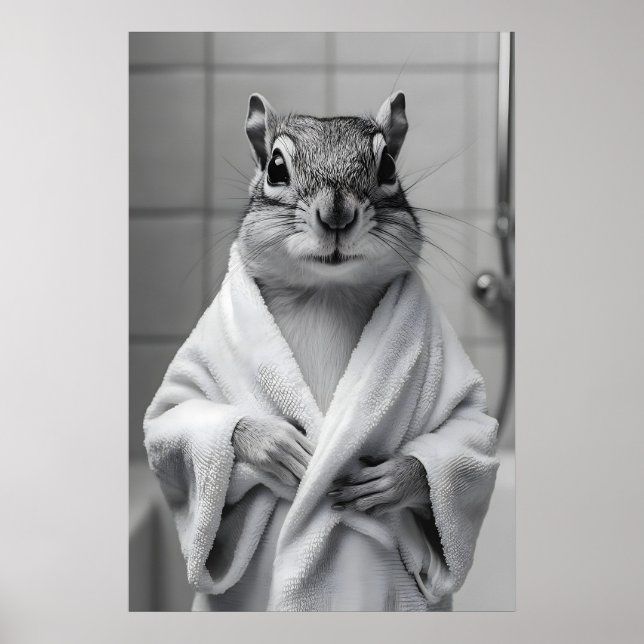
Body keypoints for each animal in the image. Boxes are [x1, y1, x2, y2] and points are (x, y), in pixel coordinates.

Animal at [231, 92, 435, 519]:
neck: (327, 292)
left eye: (388, 165)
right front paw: (275, 445)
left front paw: (393, 480)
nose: (336, 214)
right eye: (275, 168)